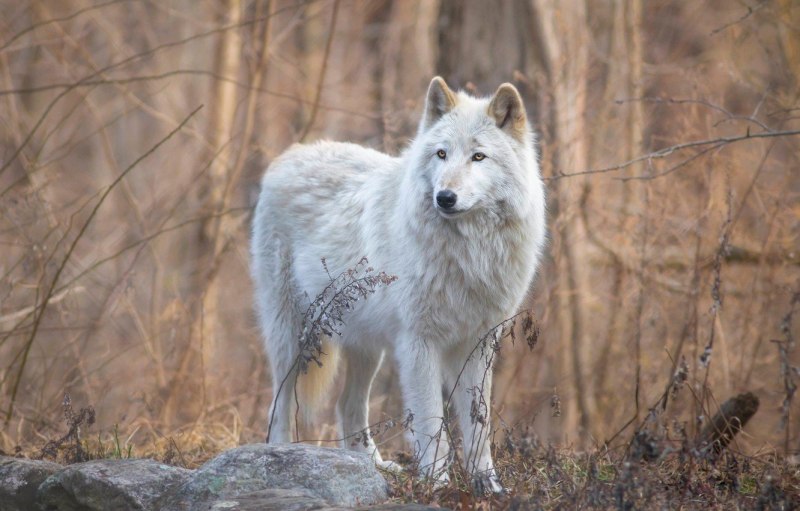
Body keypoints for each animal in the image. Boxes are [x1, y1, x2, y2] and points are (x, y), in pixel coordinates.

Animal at [250, 76, 546, 492]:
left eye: (478, 157)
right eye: (441, 154)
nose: (445, 197)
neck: (469, 253)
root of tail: (289, 155)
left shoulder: (479, 343)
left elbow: (478, 423)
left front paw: (487, 485)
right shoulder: (418, 342)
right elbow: (431, 421)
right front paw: (437, 484)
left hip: (366, 347)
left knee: (348, 406)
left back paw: (374, 466)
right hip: (293, 337)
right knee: (279, 405)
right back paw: (276, 457)